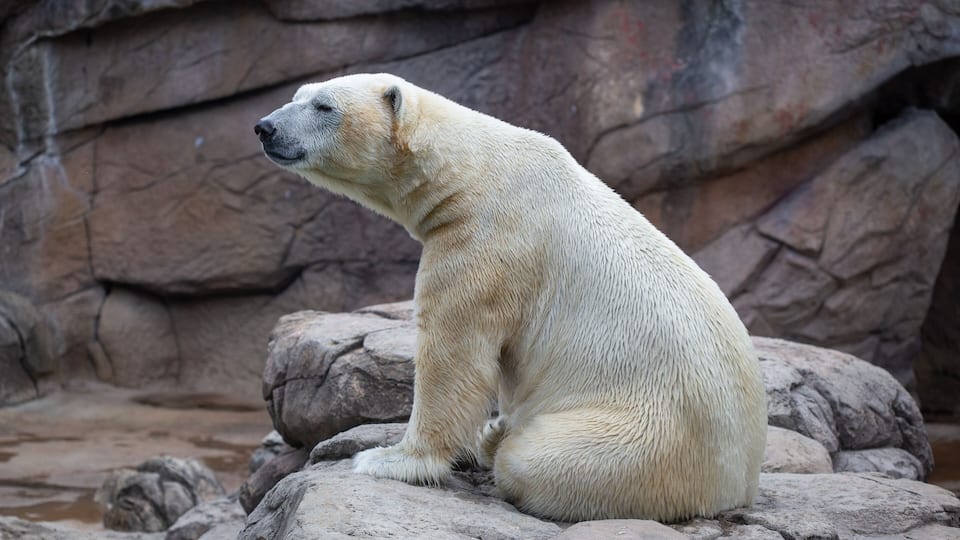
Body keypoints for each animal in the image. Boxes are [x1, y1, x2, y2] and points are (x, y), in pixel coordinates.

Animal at [254, 73, 767, 523]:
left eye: (324, 106)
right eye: (297, 96)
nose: (265, 127)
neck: (473, 172)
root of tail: (737, 483)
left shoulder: (487, 239)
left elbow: (453, 353)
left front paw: (389, 459)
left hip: (644, 435)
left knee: (538, 459)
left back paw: (501, 445)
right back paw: (495, 430)